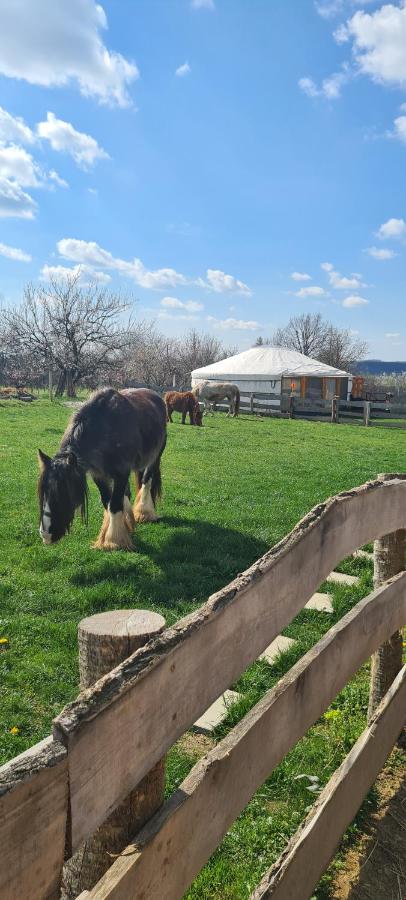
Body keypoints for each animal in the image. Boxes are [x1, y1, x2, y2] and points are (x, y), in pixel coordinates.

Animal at [36, 390, 167, 552]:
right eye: (43, 493)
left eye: (63, 493)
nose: (46, 534)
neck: (105, 427)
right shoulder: (98, 475)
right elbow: (107, 501)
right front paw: (116, 532)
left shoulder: (122, 472)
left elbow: (115, 504)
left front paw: (114, 541)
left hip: (155, 456)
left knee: (146, 481)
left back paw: (144, 513)